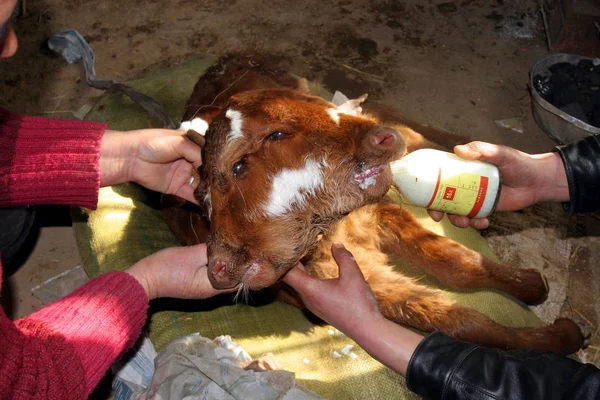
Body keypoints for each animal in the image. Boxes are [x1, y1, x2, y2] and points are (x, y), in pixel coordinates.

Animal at [162, 54, 584, 354]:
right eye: (275, 135)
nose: (218, 267)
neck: (331, 231)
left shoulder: (380, 211)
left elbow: (457, 263)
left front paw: (531, 286)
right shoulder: (366, 281)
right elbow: (456, 316)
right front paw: (559, 333)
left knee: (416, 130)